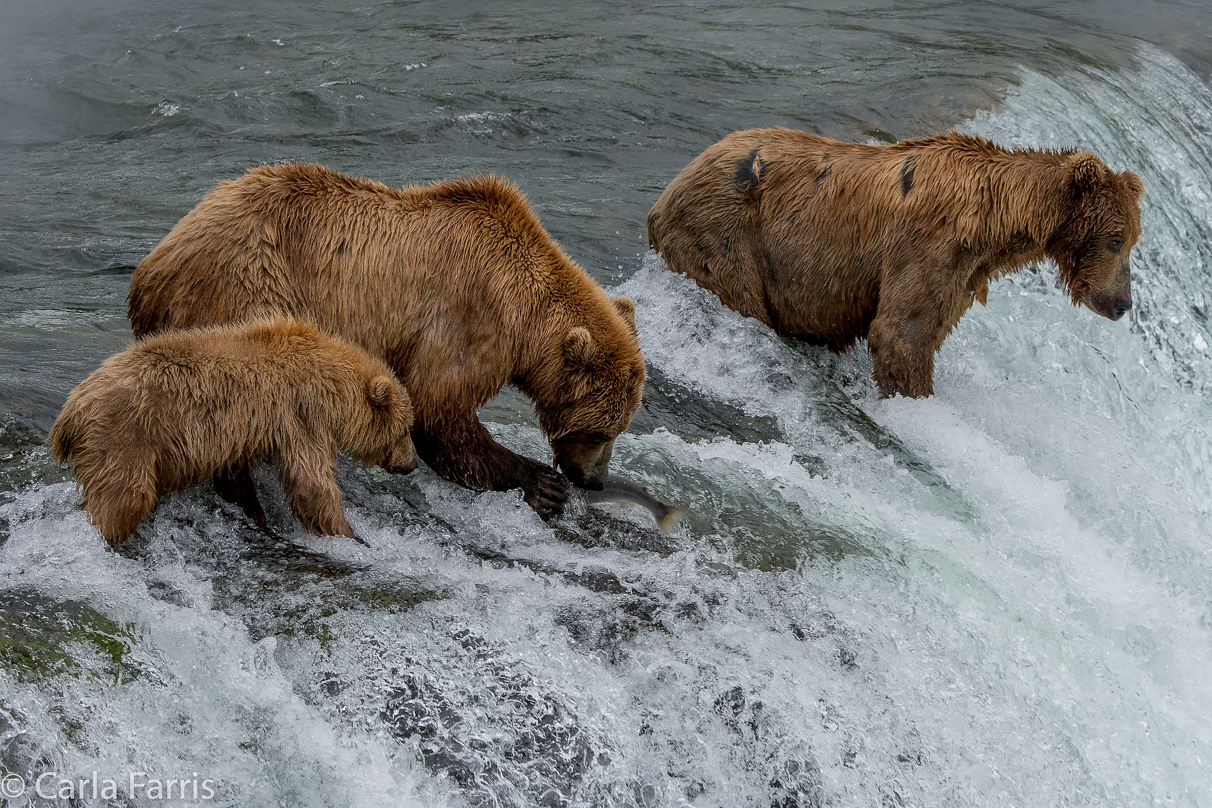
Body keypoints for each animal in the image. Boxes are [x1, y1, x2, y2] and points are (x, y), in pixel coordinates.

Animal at [48, 314, 416, 542]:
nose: (411, 463)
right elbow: (312, 482)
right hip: (124, 436)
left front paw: (257, 517)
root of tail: (70, 410)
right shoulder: (300, 414)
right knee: (124, 497)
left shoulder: (239, 436)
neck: (332, 387)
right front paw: (351, 535)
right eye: (405, 429)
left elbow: (237, 479)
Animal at [127, 164, 649, 518]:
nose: (595, 480)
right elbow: (439, 410)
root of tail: (154, 262)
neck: (526, 316)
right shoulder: (471, 318)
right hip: (249, 286)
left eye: (619, 428)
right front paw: (541, 484)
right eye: (600, 430)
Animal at [649, 125, 1139, 397]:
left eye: (1132, 239)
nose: (1122, 303)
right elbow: (902, 335)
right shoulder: (931, 247)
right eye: (1116, 240)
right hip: (724, 232)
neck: (996, 221)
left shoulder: (964, 272)